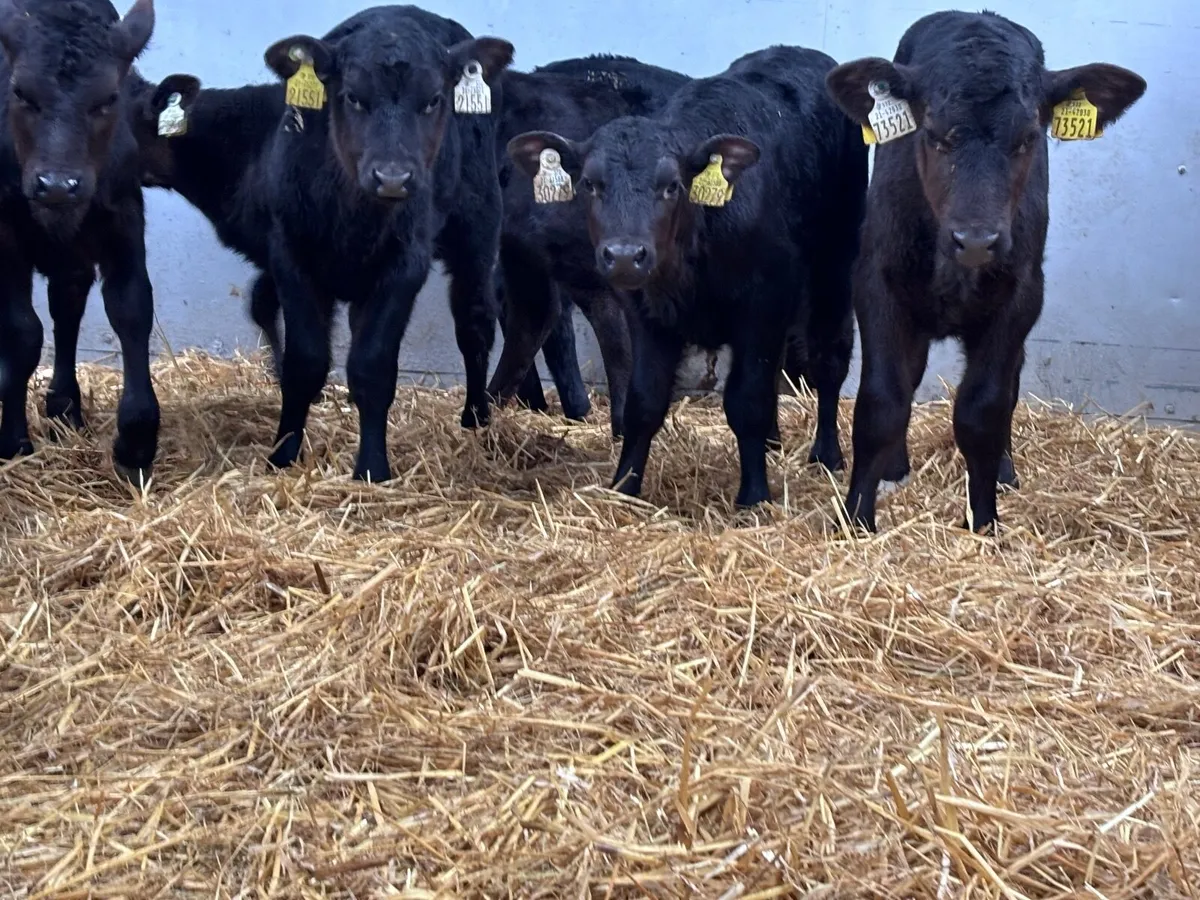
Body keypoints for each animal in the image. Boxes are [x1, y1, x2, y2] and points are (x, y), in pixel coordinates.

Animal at [0, 0, 160, 484]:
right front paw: (13, 439)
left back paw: (65, 405)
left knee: (66, 307)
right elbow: (23, 333)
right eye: (20, 93)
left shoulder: (123, 218)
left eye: (108, 98)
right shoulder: (4, 231)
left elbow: (131, 309)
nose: (56, 185)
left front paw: (136, 443)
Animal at [254, 5, 513, 482]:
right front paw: (283, 453)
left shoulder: (404, 265)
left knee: (475, 324)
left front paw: (372, 467)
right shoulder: (289, 253)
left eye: (432, 100)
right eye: (353, 97)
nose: (393, 177)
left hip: (479, 226)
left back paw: (476, 416)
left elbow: (372, 367)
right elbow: (304, 363)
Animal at [508, 45, 867, 507]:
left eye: (671, 185)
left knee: (829, 358)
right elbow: (643, 402)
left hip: (834, 268)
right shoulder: (648, 317)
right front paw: (625, 486)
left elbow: (746, 402)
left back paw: (826, 453)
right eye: (589, 183)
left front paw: (754, 495)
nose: (624, 256)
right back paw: (773, 440)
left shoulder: (762, 306)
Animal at [825, 10, 1146, 533]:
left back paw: (1004, 471)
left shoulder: (1022, 296)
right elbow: (882, 402)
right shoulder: (875, 284)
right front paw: (856, 520)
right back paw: (895, 467)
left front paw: (984, 521)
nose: (976, 240)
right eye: (933, 135)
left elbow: (984, 408)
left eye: (1028, 139)